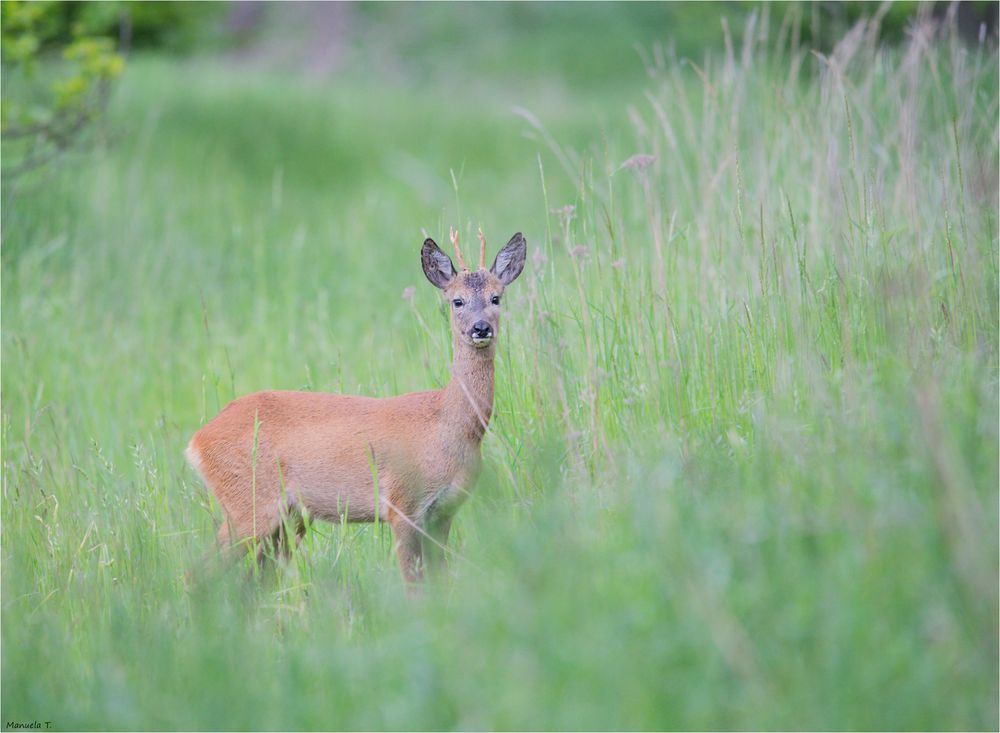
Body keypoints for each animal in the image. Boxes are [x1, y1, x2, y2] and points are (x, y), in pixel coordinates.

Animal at [189, 229, 532, 584]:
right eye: (457, 300)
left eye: (496, 298)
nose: (481, 328)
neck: (449, 425)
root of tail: (197, 439)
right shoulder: (401, 504)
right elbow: (414, 585)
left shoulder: (444, 511)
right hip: (249, 503)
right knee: (198, 572)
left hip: (289, 517)